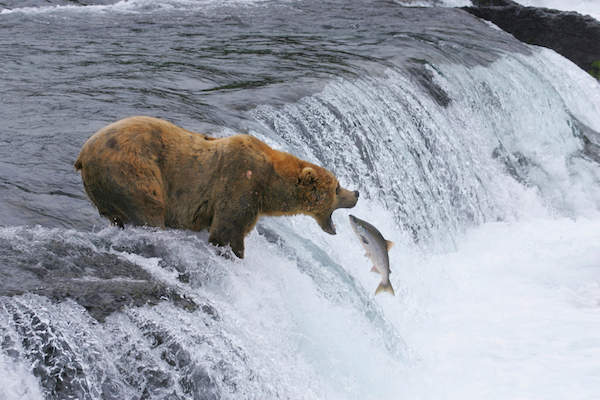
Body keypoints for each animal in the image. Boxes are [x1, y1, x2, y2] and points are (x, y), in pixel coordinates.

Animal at [74, 117, 356, 258]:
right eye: (337, 187)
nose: (356, 193)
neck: (270, 185)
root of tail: (83, 154)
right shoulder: (240, 183)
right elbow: (227, 231)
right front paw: (234, 252)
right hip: (131, 170)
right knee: (148, 210)